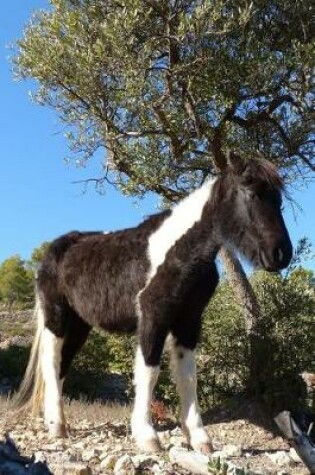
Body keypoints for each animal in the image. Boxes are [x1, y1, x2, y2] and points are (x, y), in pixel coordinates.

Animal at [12, 152, 294, 454]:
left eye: (279, 199)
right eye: (252, 193)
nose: (281, 254)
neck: (181, 253)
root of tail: (55, 249)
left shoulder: (189, 322)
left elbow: (188, 376)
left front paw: (199, 437)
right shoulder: (153, 317)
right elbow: (149, 372)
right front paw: (147, 436)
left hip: (80, 326)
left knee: (63, 365)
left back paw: (59, 422)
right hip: (56, 319)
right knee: (51, 363)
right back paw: (56, 426)